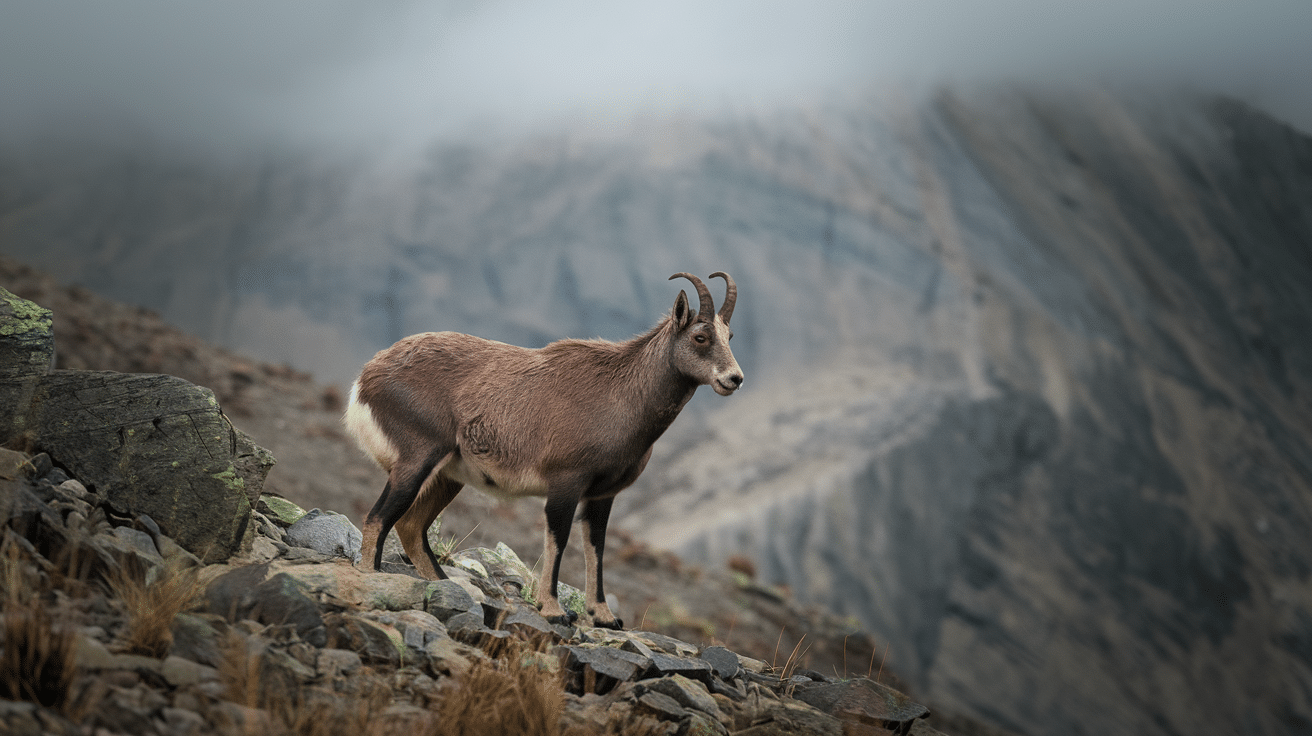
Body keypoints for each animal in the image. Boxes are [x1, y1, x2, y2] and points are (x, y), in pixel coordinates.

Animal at [343, 270, 745, 624]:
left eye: (729, 335)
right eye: (701, 336)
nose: (734, 379)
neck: (621, 394)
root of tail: (367, 377)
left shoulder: (602, 496)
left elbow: (595, 548)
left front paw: (604, 616)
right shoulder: (565, 483)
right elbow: (559, 540)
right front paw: (553, 610)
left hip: (448, 477)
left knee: (410, 525)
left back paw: (446, 587)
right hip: (417, 459)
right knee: (379, 518)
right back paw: (375, 578)